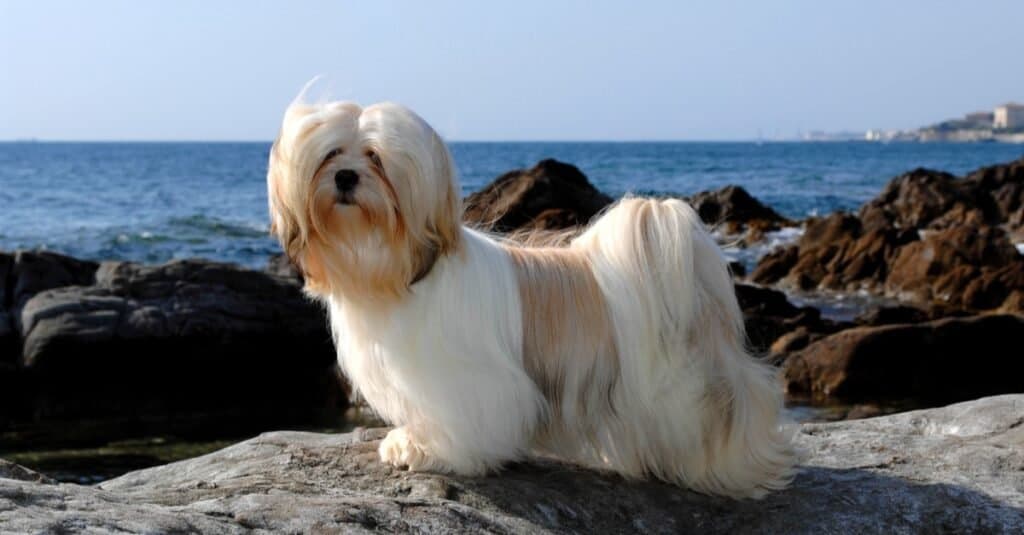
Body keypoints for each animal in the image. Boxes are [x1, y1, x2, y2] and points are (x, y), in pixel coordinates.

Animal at [268, 86, 794, 496]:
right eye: (330, 155)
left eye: (375, 158)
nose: (346, 177)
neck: (392, 269)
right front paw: (409, 441)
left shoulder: (467, 379)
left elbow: (464, 419)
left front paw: (433, 451)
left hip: (682, 384)